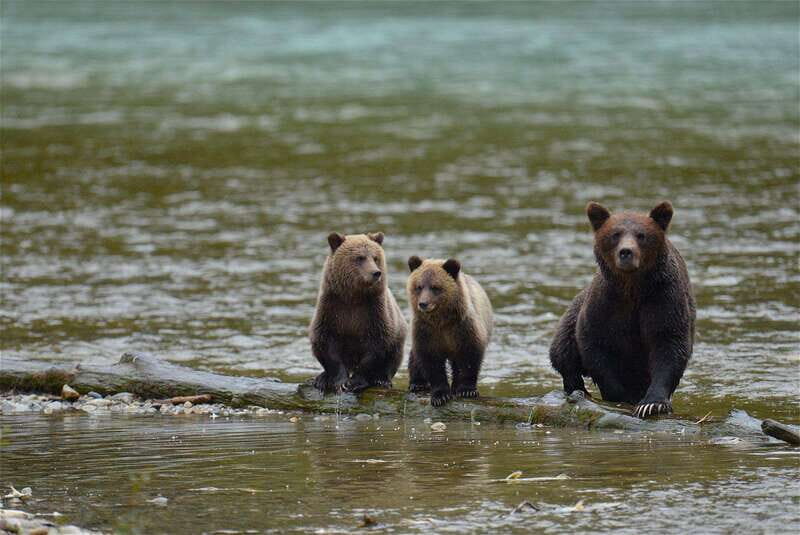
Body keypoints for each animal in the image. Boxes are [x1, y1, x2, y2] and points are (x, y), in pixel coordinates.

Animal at [309, 232, 407, 394]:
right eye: (360, 257)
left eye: (375, 257)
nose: (376, 272)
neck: (354, 297)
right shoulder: (331, 309)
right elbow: (326, 343)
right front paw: (340, 381)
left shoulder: (374, 312)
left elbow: (376, 346)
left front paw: (354, 382)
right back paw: (321, 378)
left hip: (398, 331)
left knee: (394, 357)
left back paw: (382, 379)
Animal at [406, 256, 493, 407]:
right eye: (419, 287)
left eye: (435, 287)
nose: (423, 303)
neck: (441, 321)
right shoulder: (426, 331)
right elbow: (431, 361)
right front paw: (440, 396)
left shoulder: (462, 327)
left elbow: (470, 356)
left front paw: (467, 390)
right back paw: (417, 384)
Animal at [549, 201, 695, 418]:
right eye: (615, 234)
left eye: (641, 235)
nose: (626, 252)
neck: (632, 287)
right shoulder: (606, 303)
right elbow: (595, 345)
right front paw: (619, 396)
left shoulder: (663, 298)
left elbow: (669, 344)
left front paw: (652, 404)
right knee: (563, 350)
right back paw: (577, 388)